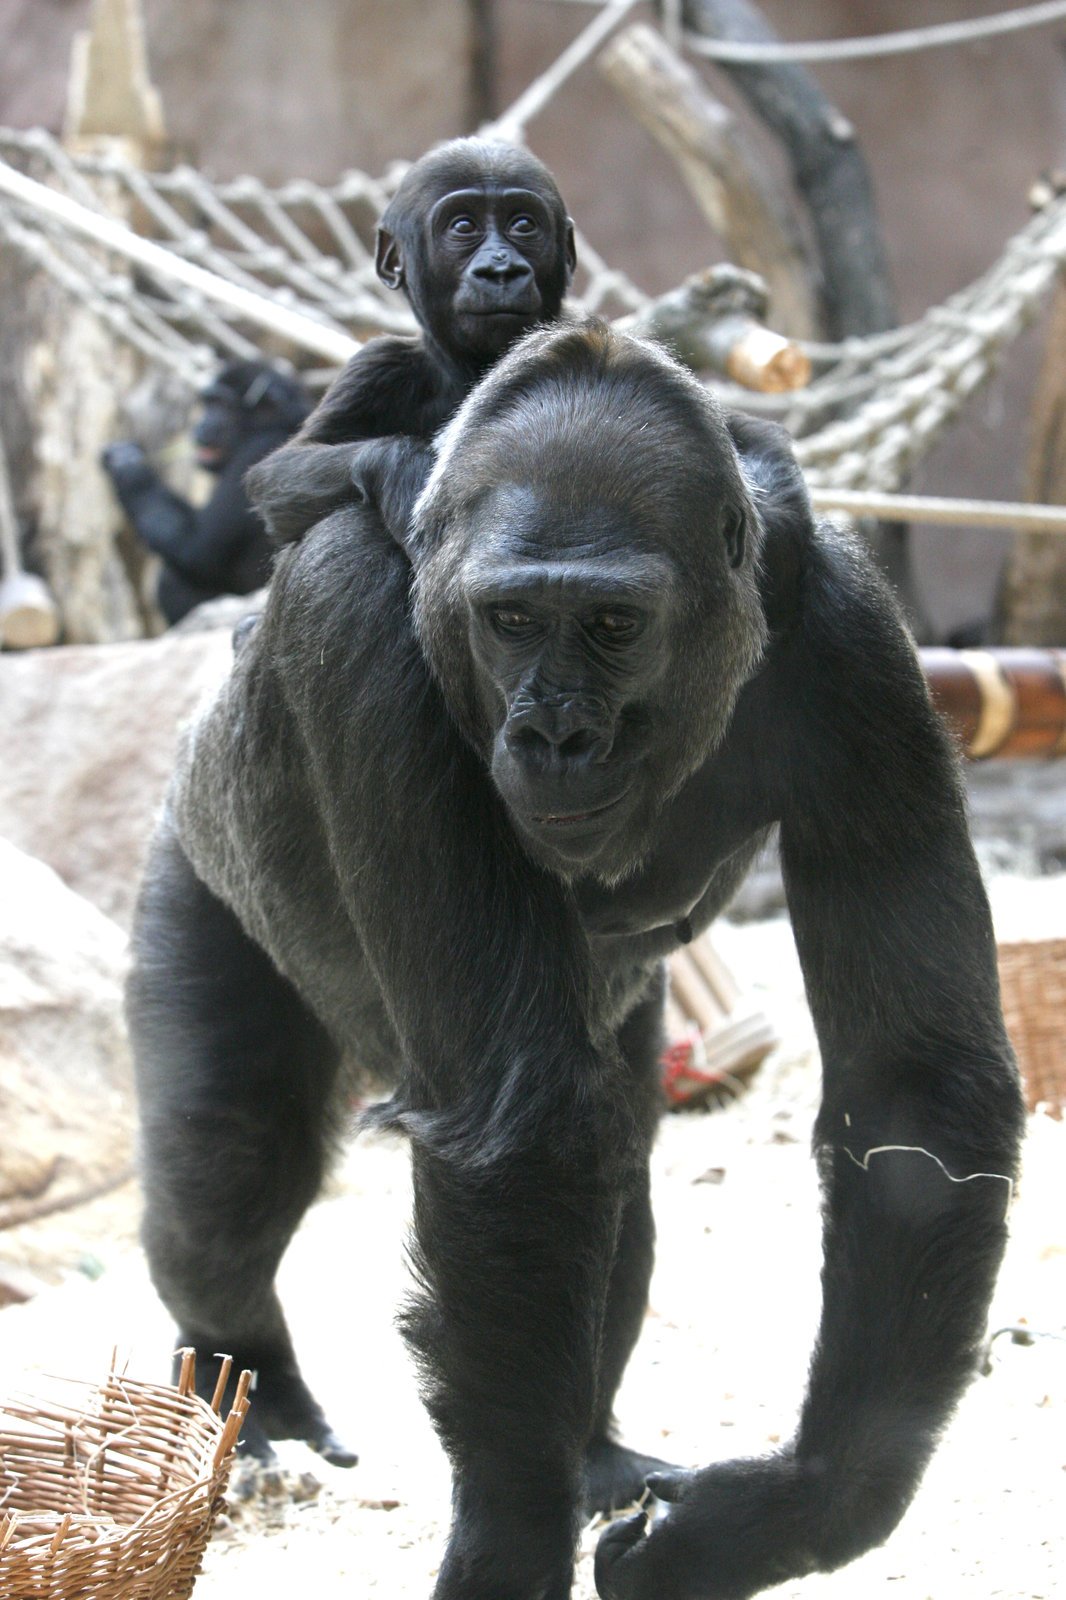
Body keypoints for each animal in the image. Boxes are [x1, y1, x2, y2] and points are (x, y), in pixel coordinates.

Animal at [128, 318, 1017, 1593]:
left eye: (610, 624)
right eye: (510, 621)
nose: (555, 733)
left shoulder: (855, 645)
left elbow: (914, 1093)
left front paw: (788, 1511)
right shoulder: (355, 613)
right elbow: (519, 1121)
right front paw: (510, 1536)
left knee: (615, 1171)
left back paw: (589, 1447)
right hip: (194, 861)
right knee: (225, 1176)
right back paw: (250, 1390)